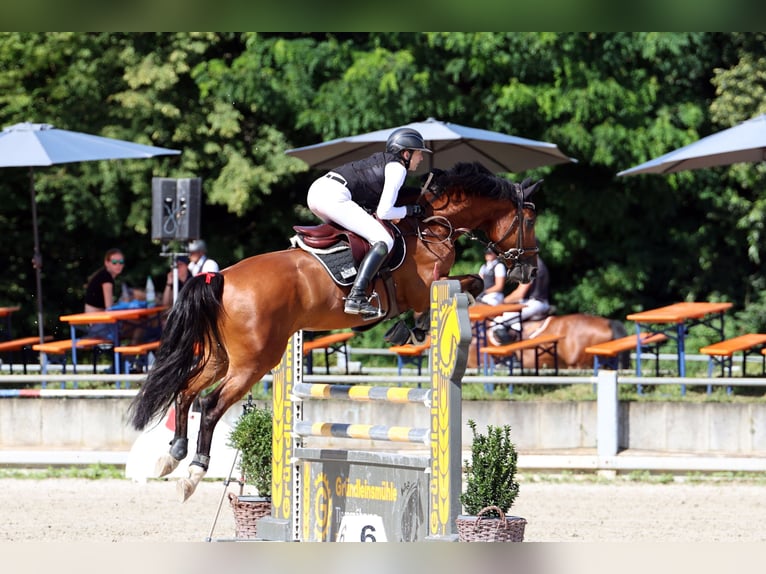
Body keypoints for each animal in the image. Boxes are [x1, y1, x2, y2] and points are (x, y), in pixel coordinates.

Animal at [127, 161, 541, 501]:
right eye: (529, 222)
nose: (531, 271)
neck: (432, 228)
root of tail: (220, 278)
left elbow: (468, 284)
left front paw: (408, 330)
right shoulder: (427, 286)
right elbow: (471, 283)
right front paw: (415, 327)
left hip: (219, 357)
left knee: (186, 392)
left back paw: (171, 456)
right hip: (254, 362)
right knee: (210, 405)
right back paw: (193, 473)